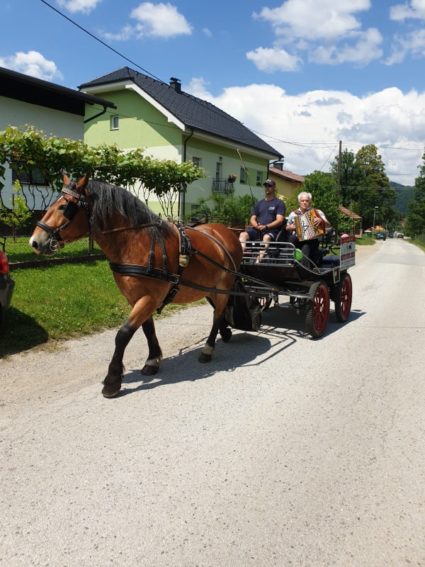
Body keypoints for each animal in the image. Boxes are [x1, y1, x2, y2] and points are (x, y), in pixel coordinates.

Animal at [29, 176, 242, 400]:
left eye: (64, 206)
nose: (34, 241)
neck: (136, 242)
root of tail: (227, 231)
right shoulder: (136, 298)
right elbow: (148, 329)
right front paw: (153, 360)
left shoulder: (149, 298)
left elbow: (123, 334)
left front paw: (112, 380)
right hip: (210, 288)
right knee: (219, 311)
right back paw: (224, 332)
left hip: (224, 286)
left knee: (217, 314)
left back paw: (208, 348)